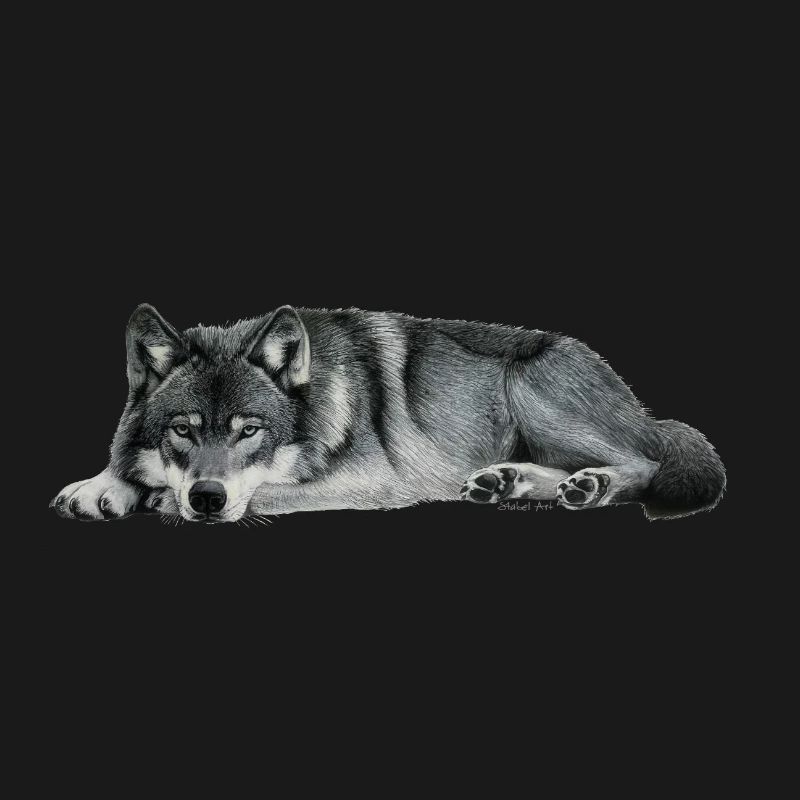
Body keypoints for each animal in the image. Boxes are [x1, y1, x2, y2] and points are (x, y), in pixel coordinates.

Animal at [51, 305, 725, 523]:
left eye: (250, 431)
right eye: (183, 430)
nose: (208, 498)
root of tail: (643, 408)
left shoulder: (374, 481)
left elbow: (262, 490)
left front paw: (159, 497)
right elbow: (127, 467)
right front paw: (101, 486)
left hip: (534, 390)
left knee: (644, 464)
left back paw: (591, 486)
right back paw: (507, 482)